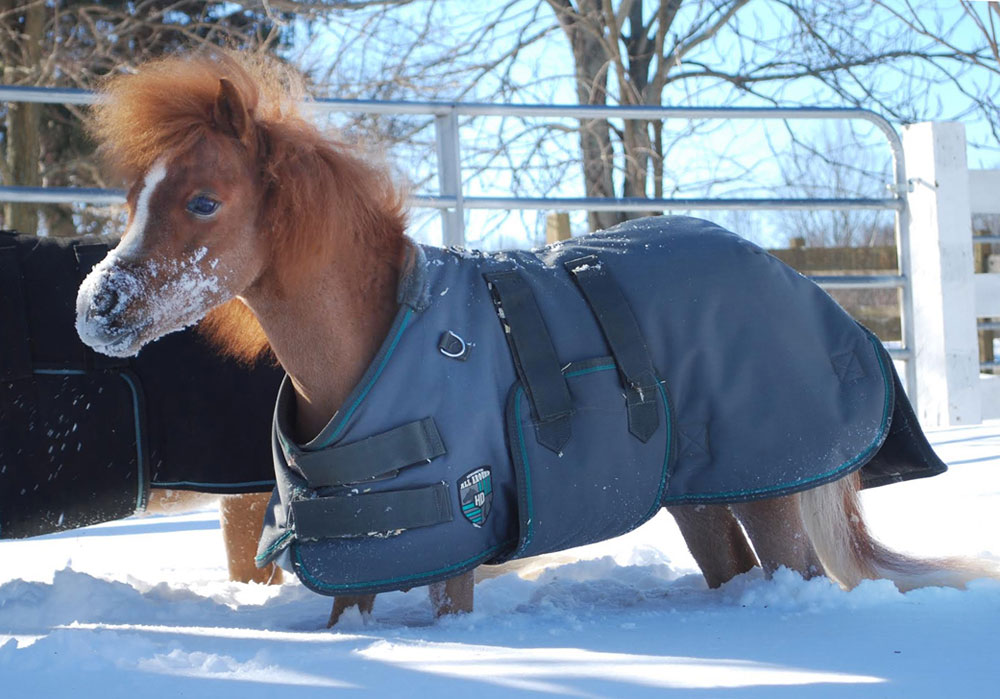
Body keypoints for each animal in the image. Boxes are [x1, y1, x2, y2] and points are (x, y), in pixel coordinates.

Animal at [76, 52, 992, 628]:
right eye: (133, 197)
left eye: (203, 201)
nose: (96, 305)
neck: (378, 345)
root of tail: (805, 289)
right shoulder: (361, 561)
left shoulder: (449, 558)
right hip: (701, 496)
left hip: (770, 488)